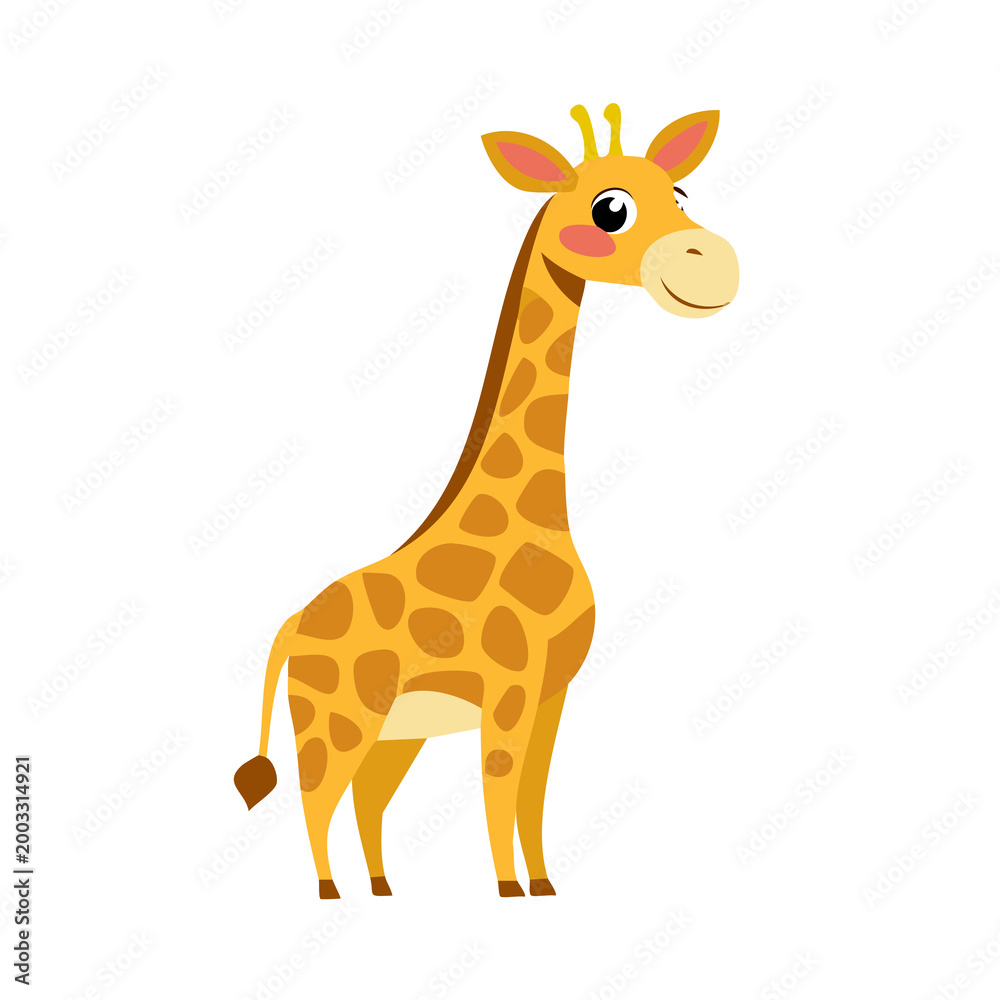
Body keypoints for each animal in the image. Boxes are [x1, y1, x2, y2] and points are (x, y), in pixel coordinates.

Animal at [234, 104, 739, 898]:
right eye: (610, 209)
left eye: (681, 193)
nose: (712, 265)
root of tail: (291, 626)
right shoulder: (509, 685)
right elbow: (499, 786)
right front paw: (509, 892)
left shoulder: (552, 692)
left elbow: (532, 795)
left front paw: (544, 887)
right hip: (335, 714)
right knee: (318, 794)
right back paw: (331, 893)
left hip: (398, 728)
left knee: (368, 795)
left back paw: (383, 890)